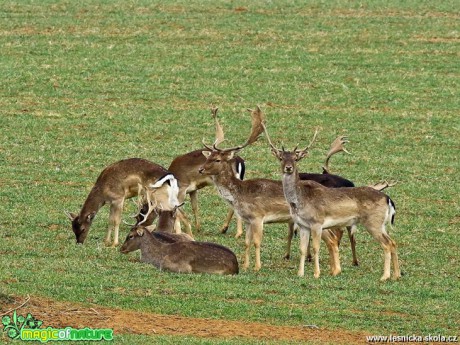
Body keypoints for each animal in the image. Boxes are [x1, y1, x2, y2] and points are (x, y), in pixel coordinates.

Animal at [198, 105, 342, 272]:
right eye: (208, 157)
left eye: (217, 159)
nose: (200, 169)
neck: (239, 194)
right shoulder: (247, 220)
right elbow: (246, 242)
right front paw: (246, 266)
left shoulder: (258, 216)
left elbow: (256, 242)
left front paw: (257, 267)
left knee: (332, 240)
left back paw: (335, 270)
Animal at [264, 125, 400, 280]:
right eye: (281, 158)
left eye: (295, 158)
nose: (288, 168)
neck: (300, 200)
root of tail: (388, 199)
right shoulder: (303, 225)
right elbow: (302, 249)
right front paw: (300, 274)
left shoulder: (317, 223)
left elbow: (316, 247)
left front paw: (317, 273)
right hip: (381, 225)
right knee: (393, 242)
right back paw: (397, 275)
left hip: (373, 223)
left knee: (386, 244)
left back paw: (385, 276)